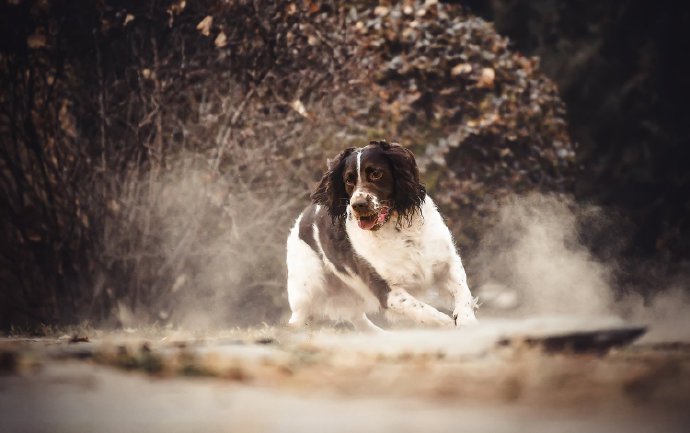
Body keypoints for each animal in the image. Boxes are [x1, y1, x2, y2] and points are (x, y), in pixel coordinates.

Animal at [282, 140, 476, 330]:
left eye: (376, 174)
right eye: (348, 180)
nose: (358, 204)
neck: (399, 231)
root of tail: (303, 216)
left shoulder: (447, 261)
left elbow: (462, 289)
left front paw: (466, 320)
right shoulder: (385, 290)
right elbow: (419, 308)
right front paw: (446, 323)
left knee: (358, 319)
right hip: (307, 288)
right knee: (298, 320)